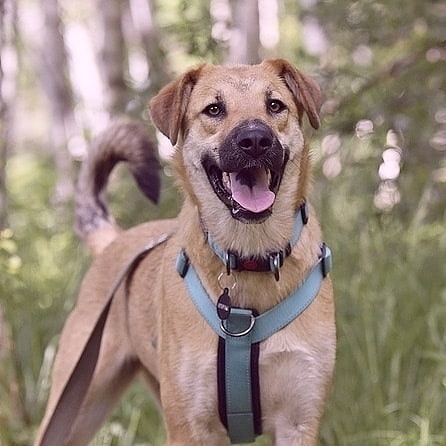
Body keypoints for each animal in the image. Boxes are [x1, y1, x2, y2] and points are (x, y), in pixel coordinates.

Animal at [35, 59, 336, 446]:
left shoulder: (298, 422)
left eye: (274, 105)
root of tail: (115, 240)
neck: (249, 255)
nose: (255, 139)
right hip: (77, 403)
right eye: (214, 109)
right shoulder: (190, 428)